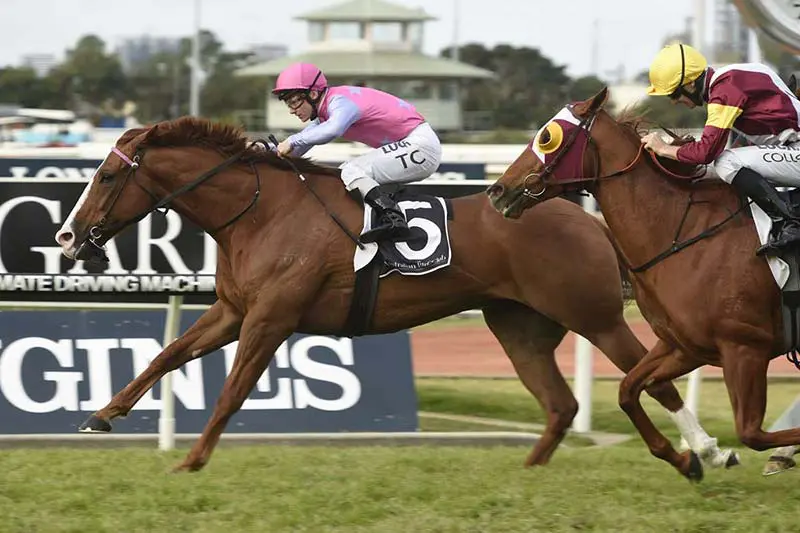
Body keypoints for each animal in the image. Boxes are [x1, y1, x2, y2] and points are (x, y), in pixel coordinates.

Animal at [53, 115, 732, 470]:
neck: (259, 212)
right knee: (562, 405)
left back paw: (701, 453)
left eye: (106, 176)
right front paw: (101, 416)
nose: (67, 235)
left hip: (594, 317)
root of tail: (588, 219)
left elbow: (231, 392)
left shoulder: (271, 318)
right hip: (518, 325)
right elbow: (167, 355)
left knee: (648, 381)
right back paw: (531, 472)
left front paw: (191, 460)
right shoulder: (232, 310)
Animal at [484, 88, 796, 482]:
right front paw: (693, 458)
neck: (684, 231)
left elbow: (751, 433)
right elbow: (628, 390)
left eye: (546, 136)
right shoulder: (684, 345)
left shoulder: (745, 347)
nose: (497, 190)